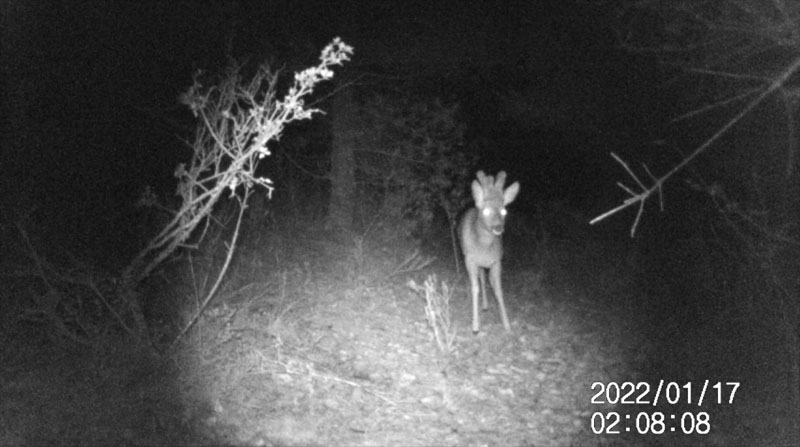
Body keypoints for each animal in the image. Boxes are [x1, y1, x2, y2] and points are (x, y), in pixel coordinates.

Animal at [460, 170, 520, 334]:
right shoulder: (470, 259)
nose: (498, 228)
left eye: (504, 210)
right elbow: (475, 288)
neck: (484, 247)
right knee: (480, 279)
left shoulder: (497, 261)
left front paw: (507, 324)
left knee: (483, 278)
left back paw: (486, 305)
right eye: (486, 210)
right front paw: (475, 326)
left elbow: (498, 290)